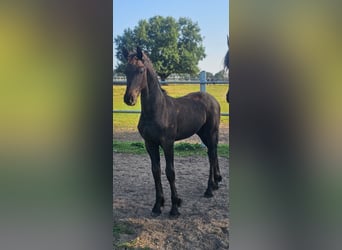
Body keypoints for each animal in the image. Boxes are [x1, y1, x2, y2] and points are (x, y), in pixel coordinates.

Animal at [123, 47, 222, 217]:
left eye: (141, 70)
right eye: (125, 71)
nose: (129, 98)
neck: (157, 110)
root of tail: (213, 100)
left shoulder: (168, 143)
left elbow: (170, 172)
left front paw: (175, 206)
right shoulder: (150, 144)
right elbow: (156, 171)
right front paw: (158, 205)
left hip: (211, 132)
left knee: (211, 155)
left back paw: (209, 189)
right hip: (202, 134)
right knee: (213, 153)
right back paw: (215, 183)